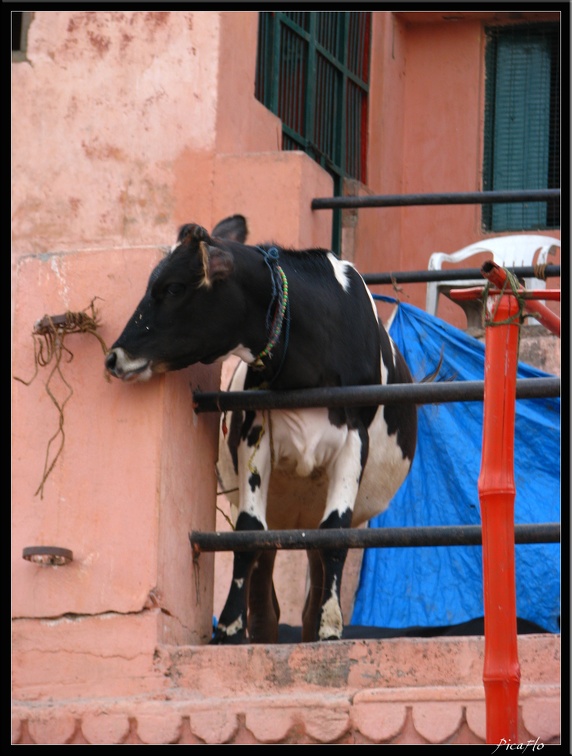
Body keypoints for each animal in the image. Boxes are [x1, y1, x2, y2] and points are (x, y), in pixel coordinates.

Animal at [104, 216, 416, 648]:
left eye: (173, 287)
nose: (114, 356)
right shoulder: (255, 433)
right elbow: (248, 534)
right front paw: (230, 627)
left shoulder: (356, 438)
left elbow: (335, 533)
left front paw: (331, 626)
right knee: (267, 594)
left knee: (316, 567)